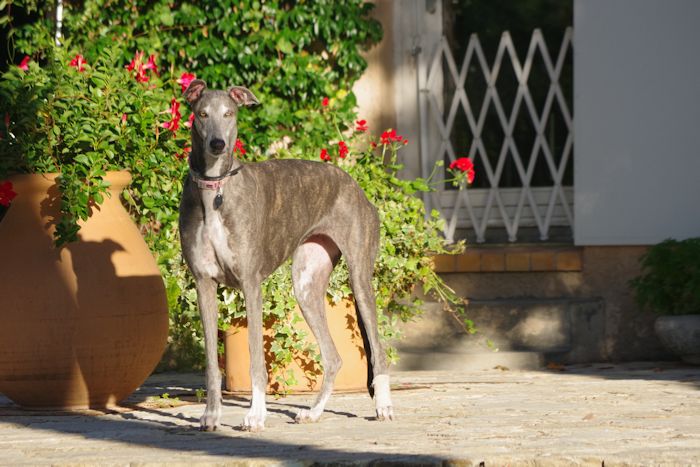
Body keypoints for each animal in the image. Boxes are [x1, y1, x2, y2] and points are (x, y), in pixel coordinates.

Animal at [178, 80, 393, 432]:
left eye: (229, 113)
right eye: (202, 114)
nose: (217, 144)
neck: (215, 189)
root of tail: (356, 186)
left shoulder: (250, 284)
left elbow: (255, 359)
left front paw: (255, 415)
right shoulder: (203, 283)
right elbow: (211, 362)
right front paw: (211, 415)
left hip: (360, 279)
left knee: (378, 349)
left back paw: (384, 406)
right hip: (306, 285)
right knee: (333, 358)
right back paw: (314, 412)